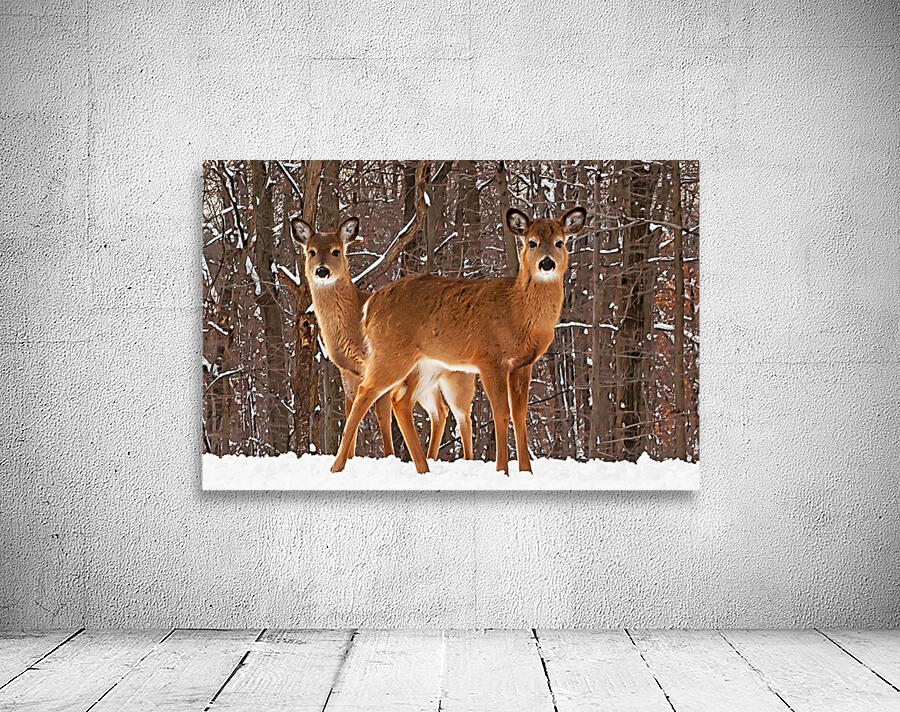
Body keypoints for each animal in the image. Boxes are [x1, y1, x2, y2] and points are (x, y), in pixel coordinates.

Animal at [290, 216, 476, 464]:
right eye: (311, 251)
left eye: (336, 251)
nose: (321, 270)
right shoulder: (347, 372)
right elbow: (351, 413)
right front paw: (350, 457)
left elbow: (381, 414)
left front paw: (389, 456)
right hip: (428, 381)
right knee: (440, 411)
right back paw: (430, 458)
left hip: (458, 377)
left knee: (463, 416)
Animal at [331, 206, 587, 475]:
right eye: (532, 242)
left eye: (559, 242)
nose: (546, 263)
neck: (517, 312)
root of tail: (369, 306)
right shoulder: (490, 358)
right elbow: (501, 413)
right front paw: (502, 471)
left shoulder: (523, 364)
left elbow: (520, 415)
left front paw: (526, 472)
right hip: (391, 353)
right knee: (365, 392)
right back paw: (337, 466)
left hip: (426, 364)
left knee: (400, 400)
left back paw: (423, 468)